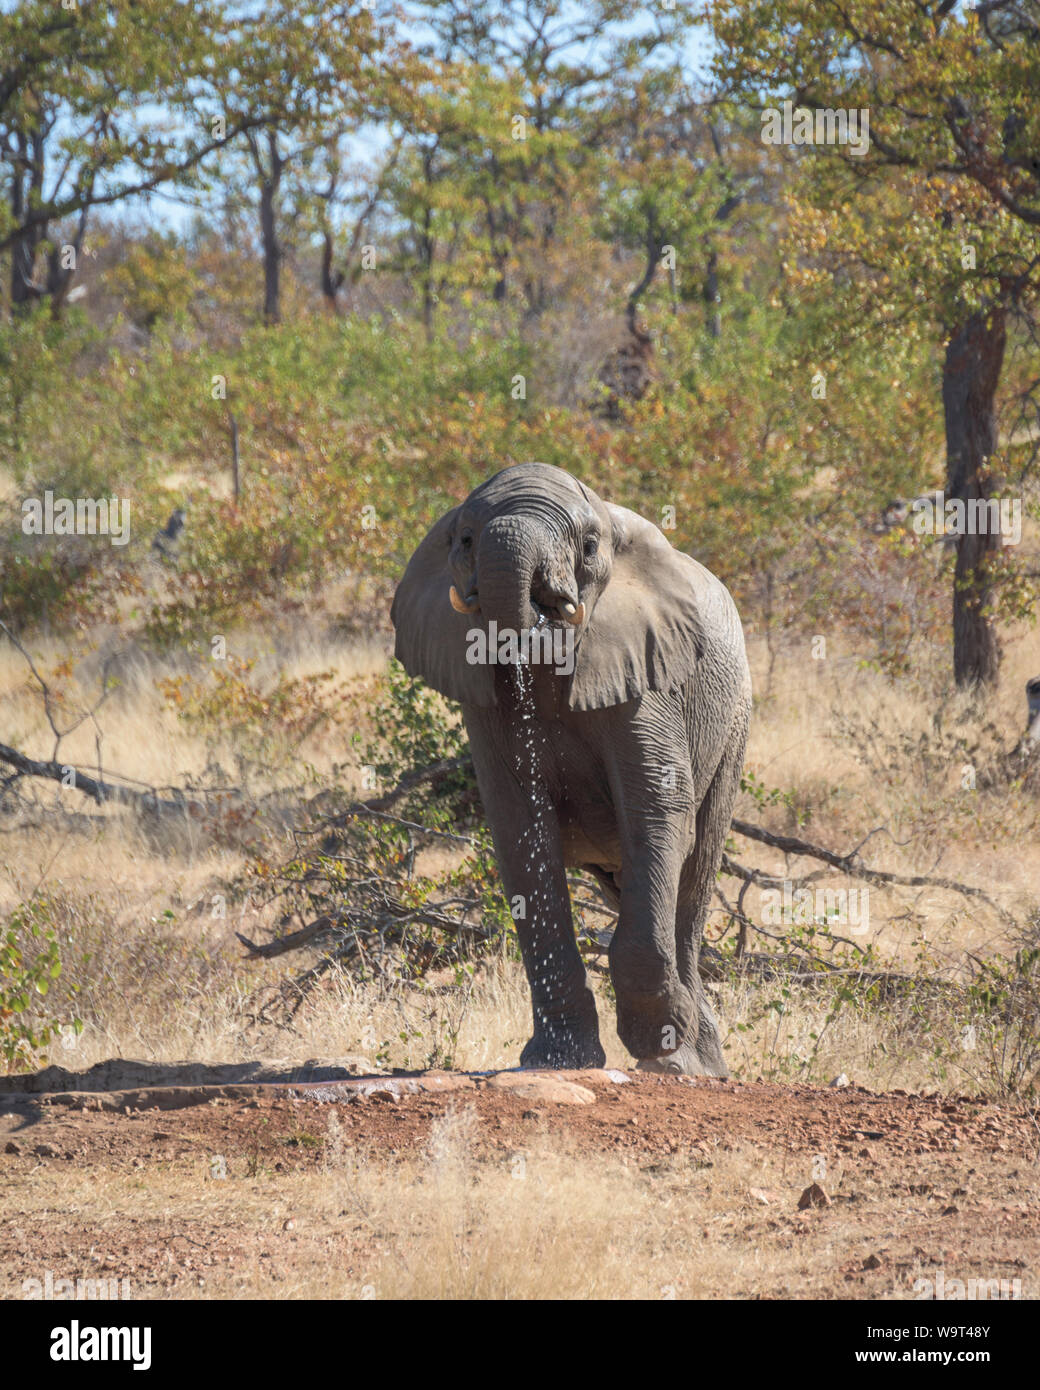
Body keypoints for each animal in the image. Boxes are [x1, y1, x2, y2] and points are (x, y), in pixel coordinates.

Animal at [389, 464, 745, 1073]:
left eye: (589, 546)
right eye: (465, 540)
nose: (538, 608)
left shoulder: (645, 675)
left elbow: (656, 809)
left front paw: (659, 1048)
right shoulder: (483, 701)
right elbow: (521, 832)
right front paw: (558, 1061)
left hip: (734, 730)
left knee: (694, 880)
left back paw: (694, 1064)